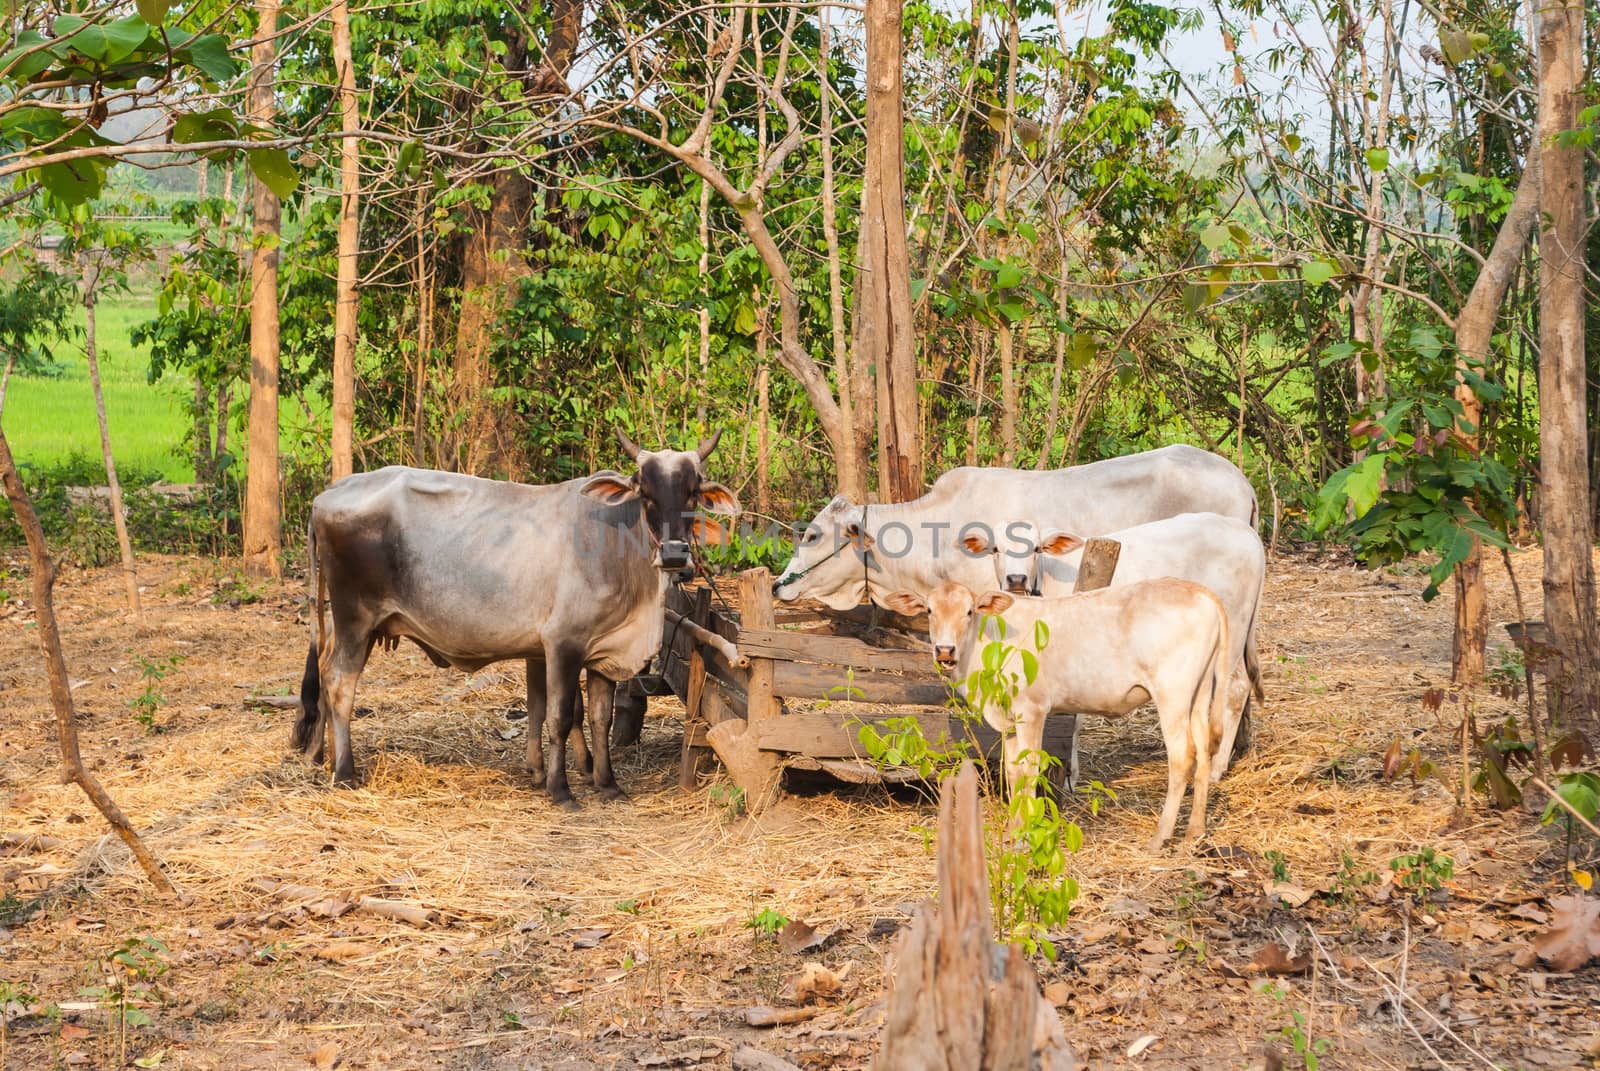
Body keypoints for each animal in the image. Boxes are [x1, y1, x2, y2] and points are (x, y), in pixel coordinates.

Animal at [297, 429, 739, 806]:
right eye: (645, 493)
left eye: (693, 493)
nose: (675, 555)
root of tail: (329, 494)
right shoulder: (562, 644)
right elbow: (560, 716)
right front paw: (561, 790)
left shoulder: (602, 650)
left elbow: (598, 718)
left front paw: (607, 784)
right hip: (356, 618)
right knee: (338, 683)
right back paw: (345, 772)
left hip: (354, 622)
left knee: (326, 673)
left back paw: (325, 756)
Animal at [883, 579, 1228, 845]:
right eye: (929, 610)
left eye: (969, 611)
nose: (944, 650)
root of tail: (1198, 590)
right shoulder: (1009, 718)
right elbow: (1012, 771)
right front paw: (1013, 829)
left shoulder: (1032, 709)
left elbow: (1030, 769)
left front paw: (1025, 832)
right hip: (1200, 693)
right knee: (1204, 752)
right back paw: (1194, 832)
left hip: (1172, 694)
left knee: (1182, 756)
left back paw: (1160, 836)